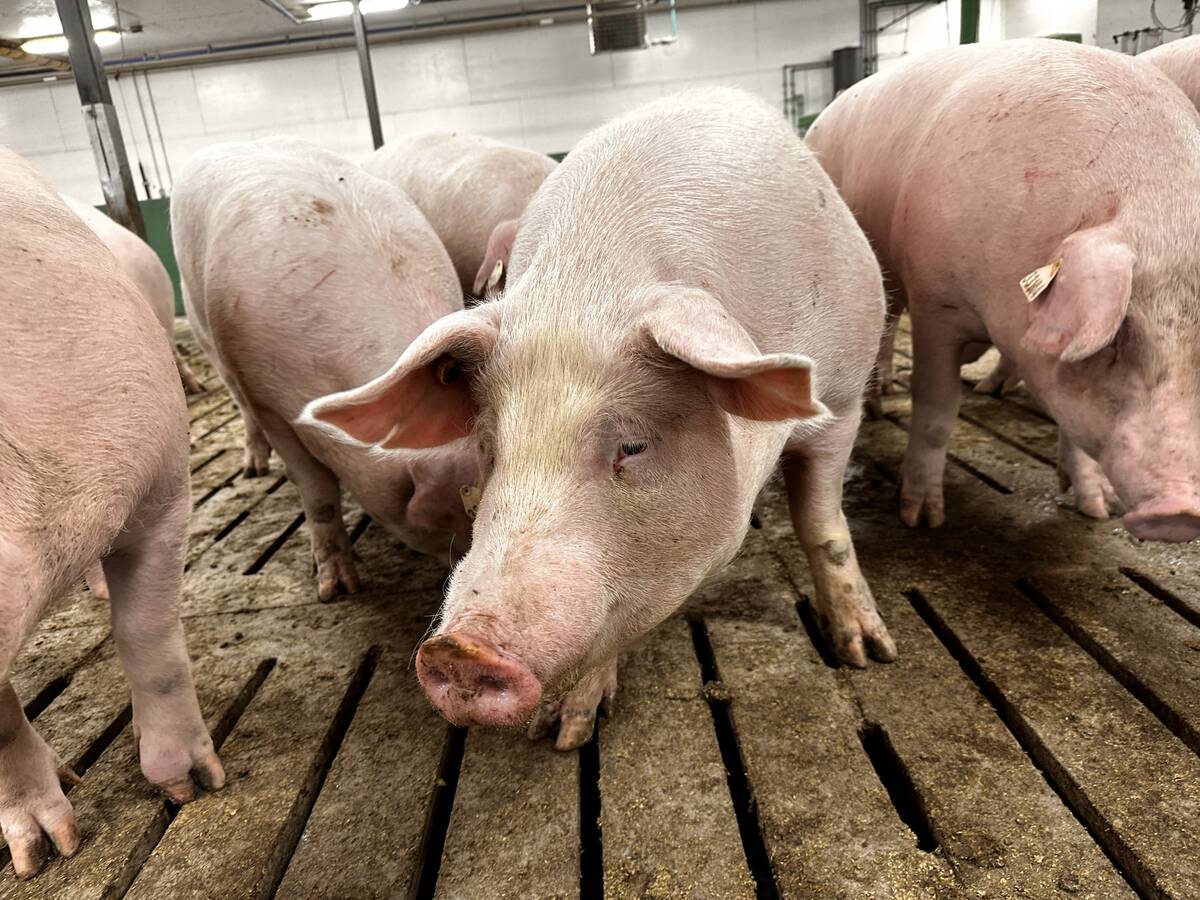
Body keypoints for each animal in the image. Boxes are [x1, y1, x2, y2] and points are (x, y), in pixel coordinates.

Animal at [173, 137, 477, 601]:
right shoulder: (272, 405)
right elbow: (317, 494)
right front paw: (338, 589)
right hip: (205, 330)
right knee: (238, 402)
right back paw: (255, 470)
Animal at [806, 38, 1200, 539]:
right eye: (1119, 338)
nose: (1181, 513)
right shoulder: (937, 304)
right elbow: (936, 406)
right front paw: (922, 519)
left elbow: (1074, 429)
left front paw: (1096, 509)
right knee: (887, 328)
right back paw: (880, 402)